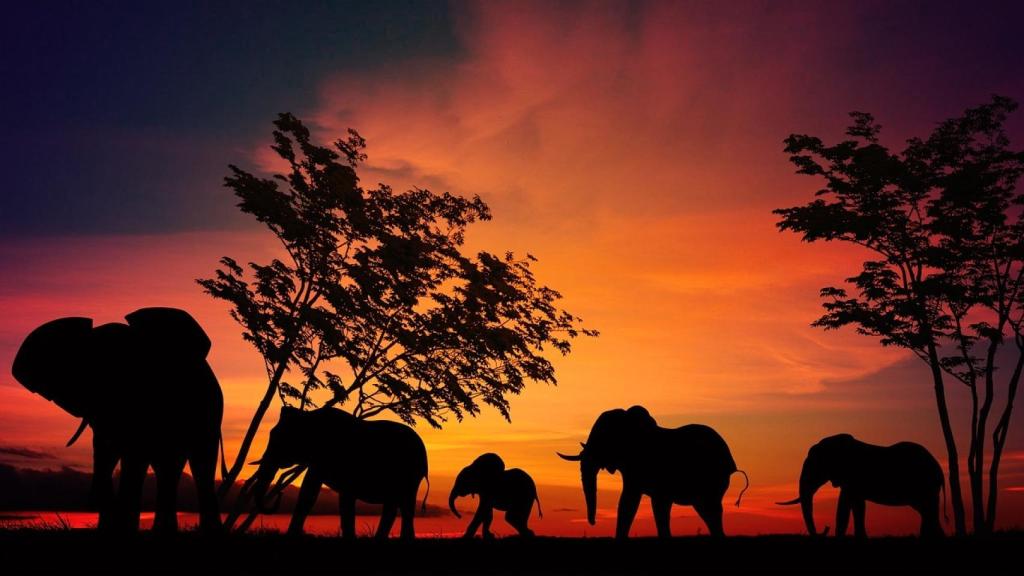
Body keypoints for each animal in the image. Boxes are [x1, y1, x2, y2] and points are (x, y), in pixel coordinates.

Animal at [11, 307, 222, 532]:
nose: (90, 504)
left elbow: (132, 453)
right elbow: (106, 449)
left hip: (209, 412)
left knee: (200, 466)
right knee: (168, 468)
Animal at [249, 405, 430, 537]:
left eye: (279, 437)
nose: (280, 495)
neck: (309, 417)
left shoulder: (330, 458)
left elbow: (311, 492)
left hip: (410, 474)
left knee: (404, 507)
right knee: (395, 507)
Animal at [778, 432, 937, 537]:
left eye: (816, 467)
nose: (824, 529)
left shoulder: (852, 477)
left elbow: (845, 505)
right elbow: (856, 505)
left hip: (925, 486)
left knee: (928, 511)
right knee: (927, 512)